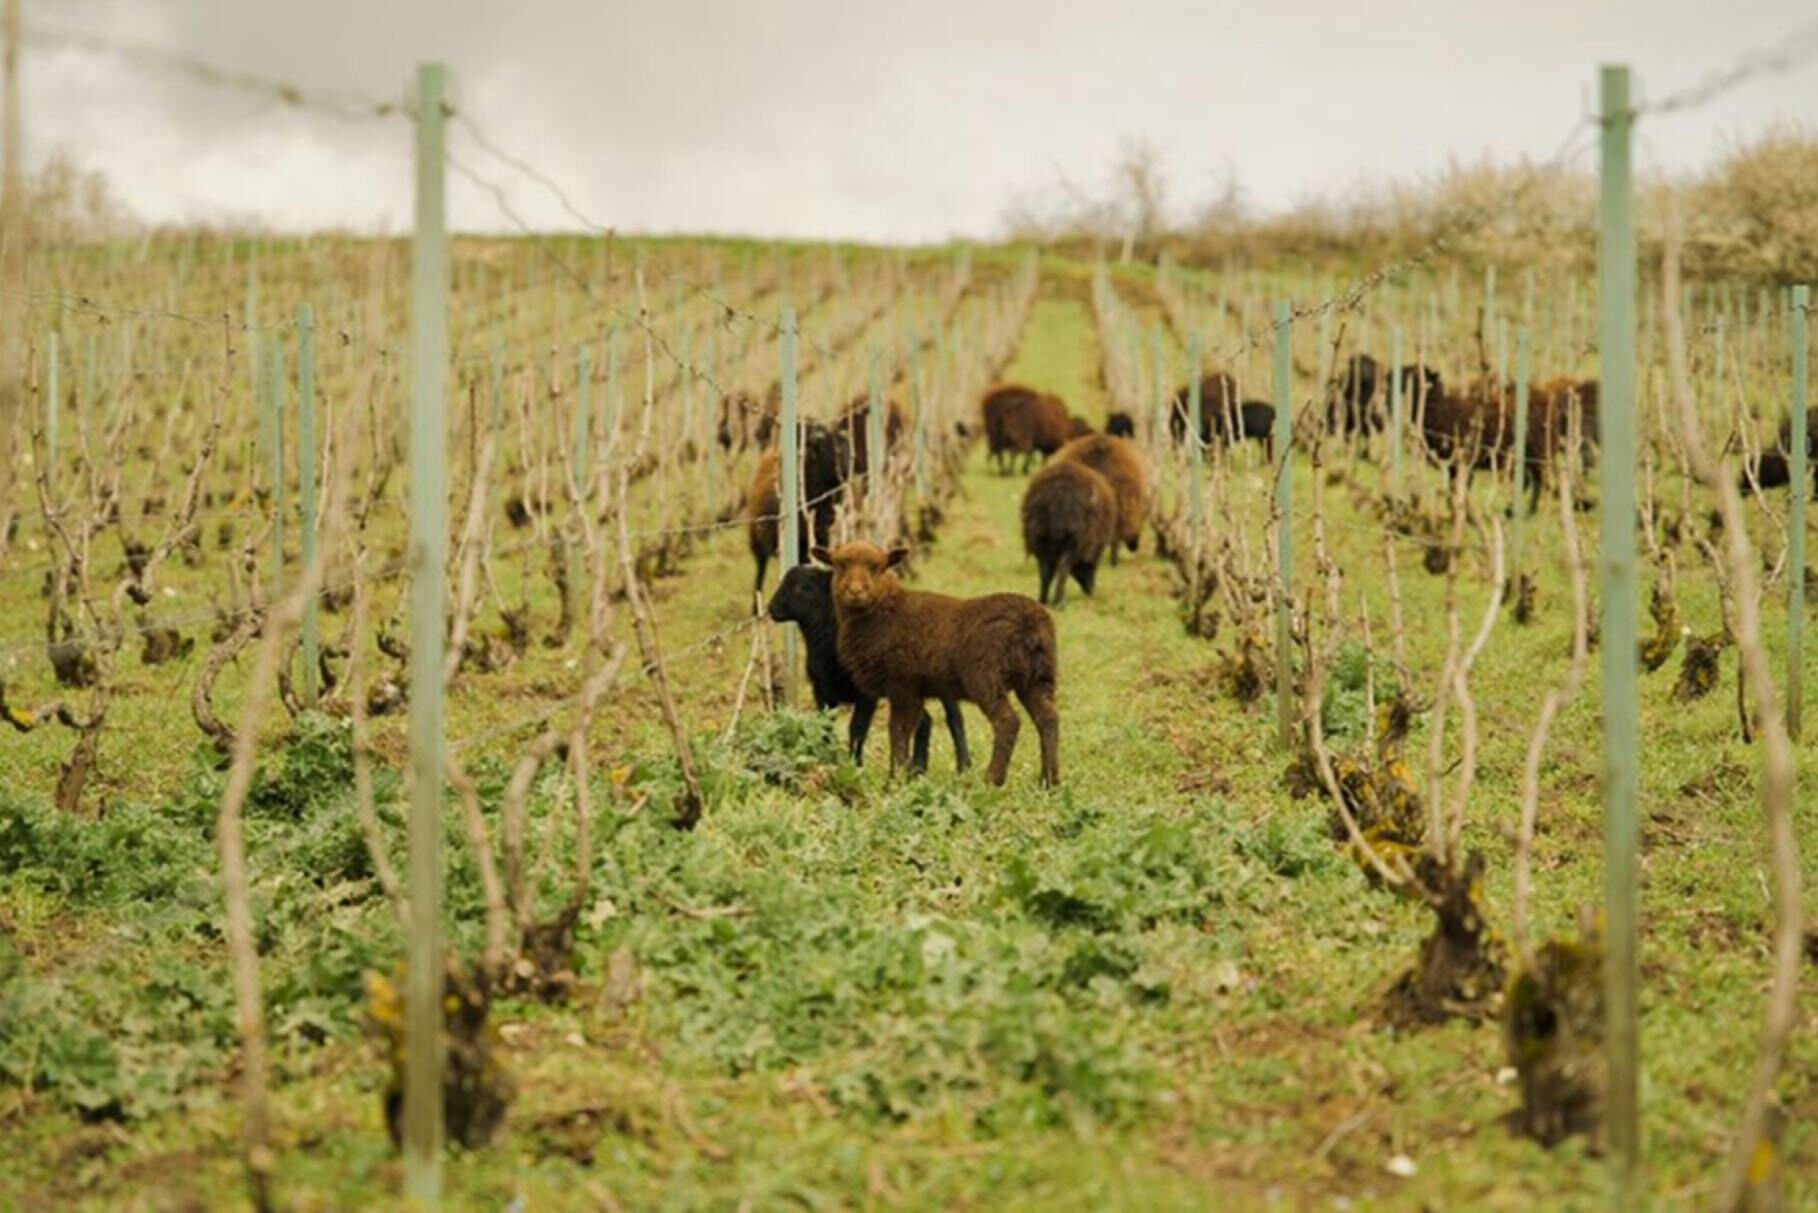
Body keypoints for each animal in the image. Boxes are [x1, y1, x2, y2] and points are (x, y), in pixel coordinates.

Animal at [763, 567, 974, 774]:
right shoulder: (821, 690)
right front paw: (826, 759)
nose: (771, 608)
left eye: (804, 587)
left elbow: (857, 729)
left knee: (954, 719)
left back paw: (962, 767)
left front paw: (855, 765)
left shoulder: (866, 695)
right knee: (925, 721)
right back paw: (916, 770)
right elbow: (825, 726)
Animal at [818, 541, 1061, 789]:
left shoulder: (903, 684)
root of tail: (1030, 624)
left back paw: (992, 779)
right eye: (839, 565)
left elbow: (898, 730)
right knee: (1048, 718)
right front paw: (905, 775)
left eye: (877, 567)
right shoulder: (915, 689)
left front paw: (895, 779)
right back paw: (1049, 781)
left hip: (986, 676)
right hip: (1039, 676)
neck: (885, 614)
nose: (856, 592)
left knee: (1007, 721)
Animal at [1025, 458, 1119, 603]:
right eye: (1093, 563)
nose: (1090, 590)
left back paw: (1046, 599)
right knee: (1061, 571)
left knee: (1048, 573)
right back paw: (1059, 600)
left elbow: (1046, 574)